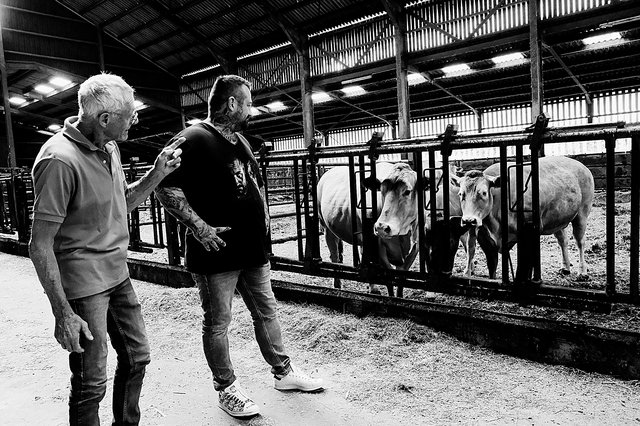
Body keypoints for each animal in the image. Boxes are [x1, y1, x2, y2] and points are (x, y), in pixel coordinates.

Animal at [456, 156, 596, 280]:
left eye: (484, 193)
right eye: (461, 194)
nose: (469, 221)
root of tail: (582, 166)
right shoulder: (484, 238)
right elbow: (486, 262)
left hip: (582, 213)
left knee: (580, 241)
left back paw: (583, 272)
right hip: (557, 218)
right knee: (563, 240)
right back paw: (565, 267)